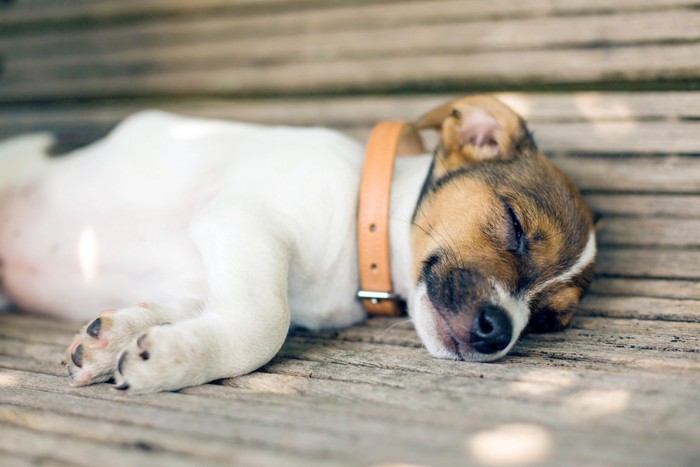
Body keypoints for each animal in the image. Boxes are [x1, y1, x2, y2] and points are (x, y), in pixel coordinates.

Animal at [0, 97, 596, 394]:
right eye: (515, 225)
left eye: (548, 321)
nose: (499, 332)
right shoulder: (243, 219)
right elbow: (267, 324)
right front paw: (171, 361)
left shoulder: (207, 272)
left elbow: (186, 308)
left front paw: (119, 339)